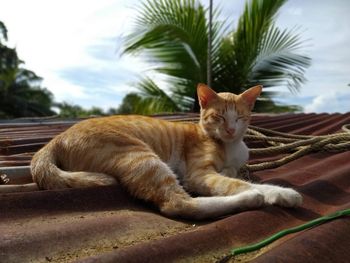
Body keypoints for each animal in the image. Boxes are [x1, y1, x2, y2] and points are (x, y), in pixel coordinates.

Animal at [31, 85, 302, 221]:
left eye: (240, 117)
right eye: (219, 116)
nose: (230, 129)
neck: (230, 145)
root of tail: (56, 138)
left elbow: (235, 175)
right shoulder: (199, 175)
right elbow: (237, 183)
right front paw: (276, 193)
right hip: (143, 157)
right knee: (178, 203)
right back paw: (250, 199)